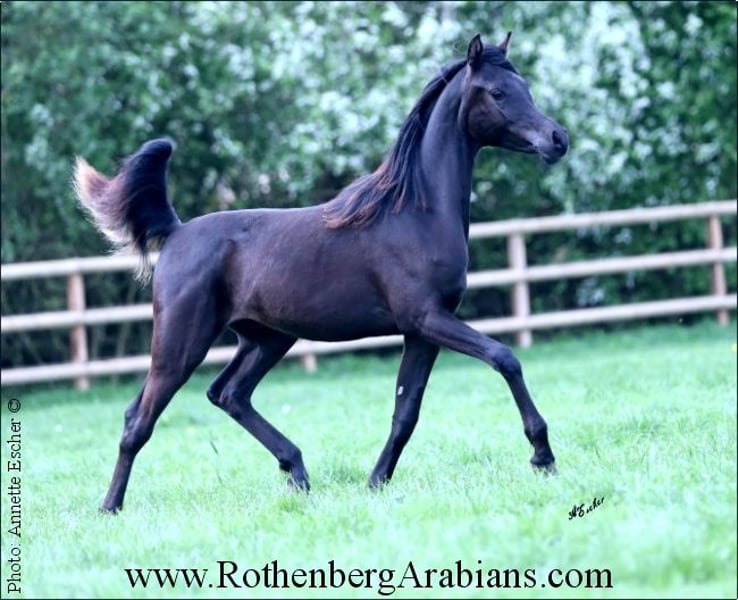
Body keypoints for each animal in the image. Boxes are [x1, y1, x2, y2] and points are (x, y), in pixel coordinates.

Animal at [74, 32, 568, 513]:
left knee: (226, 393)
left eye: (526, 88)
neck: (416, 213)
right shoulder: (427, 318)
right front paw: (543, 456)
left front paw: (376, 481)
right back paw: (110, 507)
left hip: (267, 338)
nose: (557, 139)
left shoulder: (422, 331)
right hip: (181, 343)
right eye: (498, 92)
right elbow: (504, 358)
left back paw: (296, 471)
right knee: (141, 418)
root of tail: (175, 233)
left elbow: (405, 412)